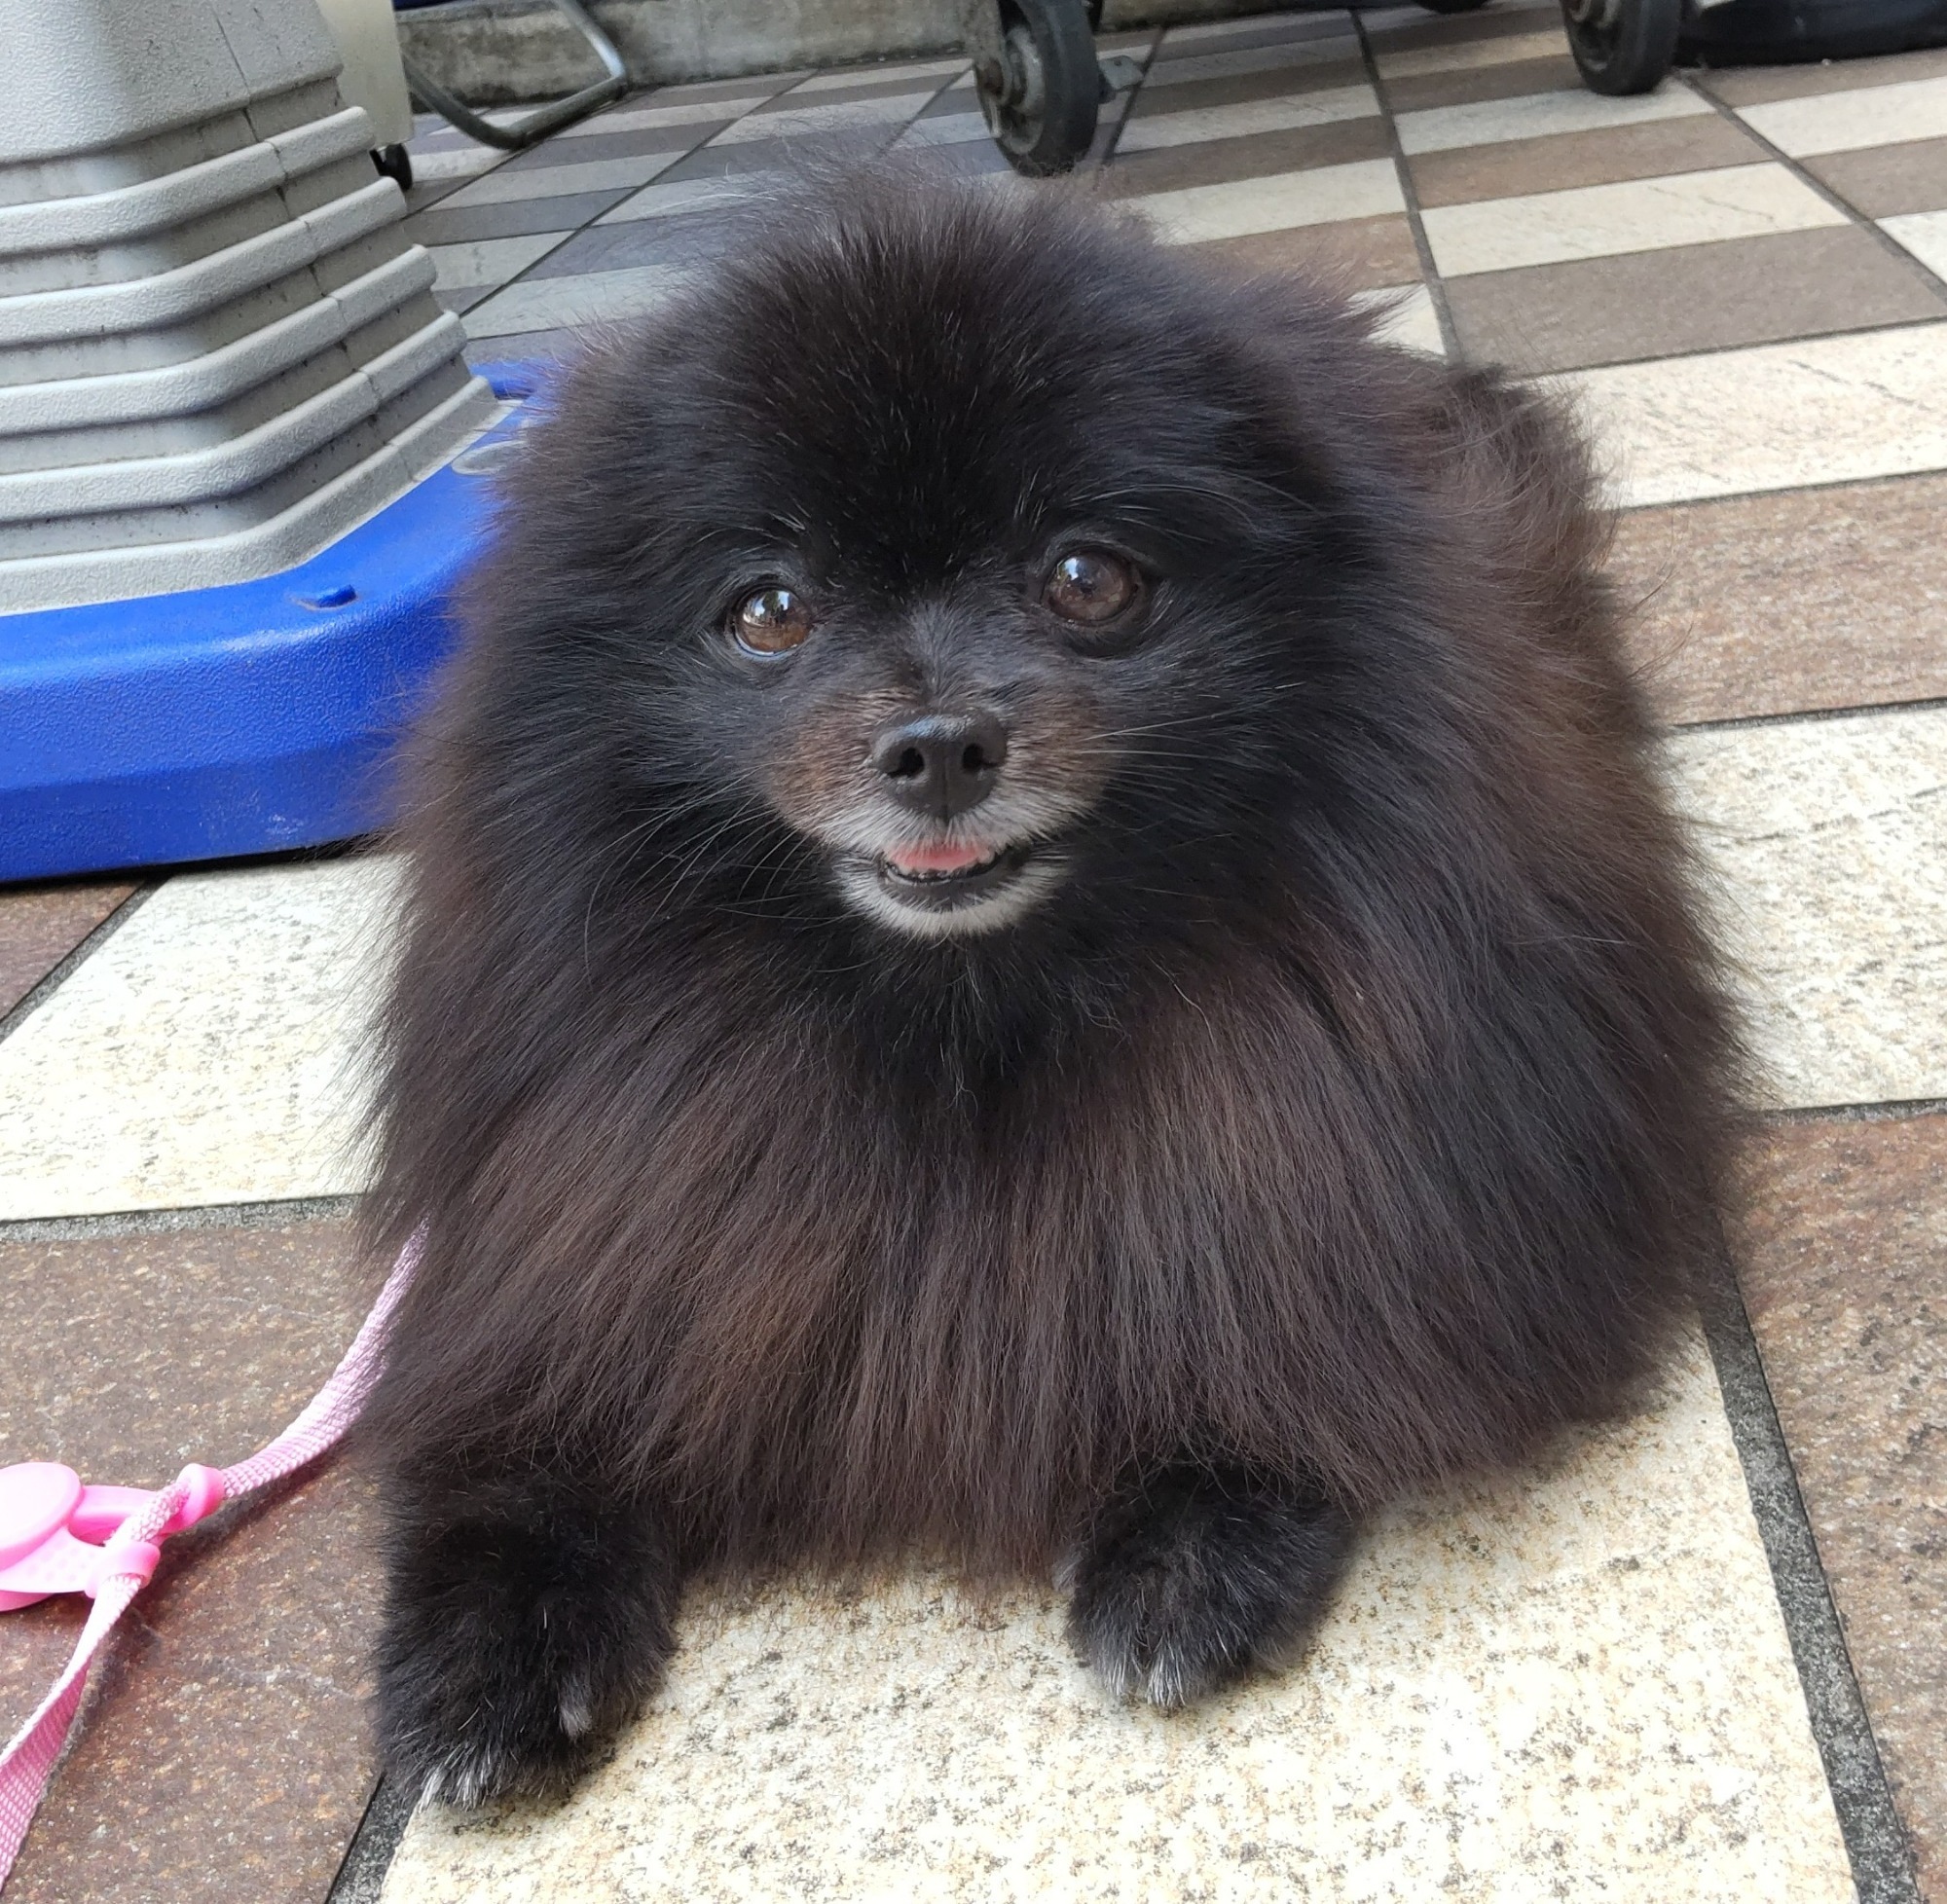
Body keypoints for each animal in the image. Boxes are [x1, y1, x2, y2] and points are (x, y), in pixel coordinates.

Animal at [362, 167, 1737, 1799]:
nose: (939, 742)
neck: (969, 1022)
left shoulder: (1338, 1156)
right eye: (768, 611)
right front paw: (495, 1632)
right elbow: (541, 1422)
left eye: (1087, 578)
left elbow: (1293, 1314)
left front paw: (1201, 1525)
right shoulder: (607, 1215)